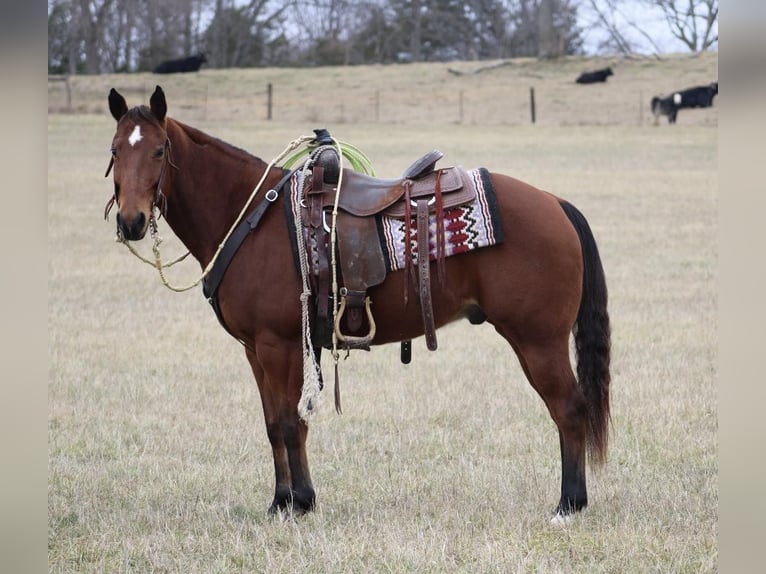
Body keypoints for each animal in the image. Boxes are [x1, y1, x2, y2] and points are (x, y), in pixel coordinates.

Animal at [106, 86, 612, 528]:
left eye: (159, 151)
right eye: (114, 150)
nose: (131, 221)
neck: (252, 217)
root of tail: (555, 203)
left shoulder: (280, 345)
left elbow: (291, 423)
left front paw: (302, 503)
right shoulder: (255, 350)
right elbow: (272, 424)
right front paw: (279, 502)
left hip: (538, 341)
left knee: (569, 409)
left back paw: (568, 505)